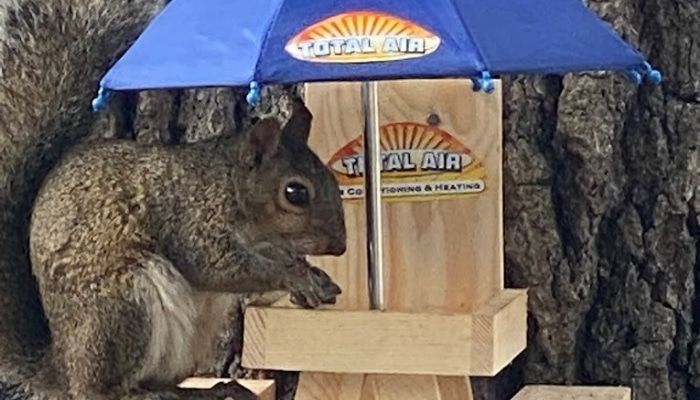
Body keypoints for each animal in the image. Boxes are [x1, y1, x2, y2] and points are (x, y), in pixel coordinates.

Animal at [0, 1, 347, 399]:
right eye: (295, 193)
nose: (340, 246)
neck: (227, 186)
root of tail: (63, 369)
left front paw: (313, 278)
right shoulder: (189, 216)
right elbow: (217, 267)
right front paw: (294, 276)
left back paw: (211, 389)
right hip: (123, 307)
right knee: (106, 390)